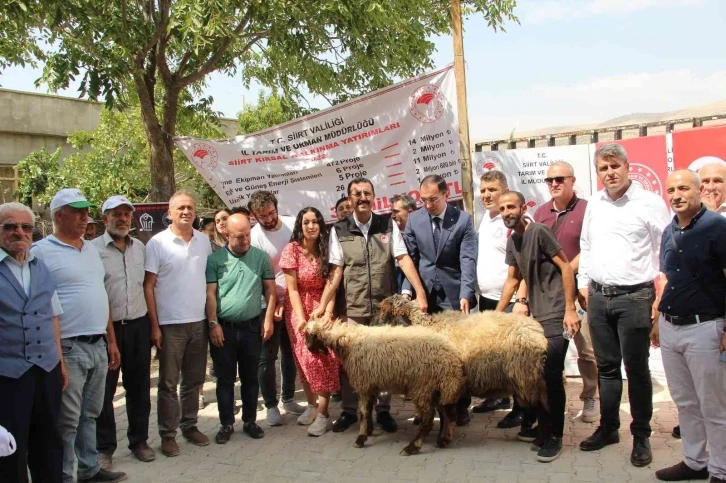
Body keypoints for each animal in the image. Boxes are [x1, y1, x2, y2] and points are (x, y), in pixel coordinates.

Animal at [306, 320, 466, 456]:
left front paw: (360, 438)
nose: (308, 348)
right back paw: (443, 440)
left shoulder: (364, 384)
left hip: (423, 387)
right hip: (440, 387)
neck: (349, 340)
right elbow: (368, 410)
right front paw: (369, 431)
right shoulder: (371, 385)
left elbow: (363, 413)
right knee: (448, 414)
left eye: (310, 335)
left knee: (429, 419)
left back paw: (411, 447)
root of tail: (452, 358)